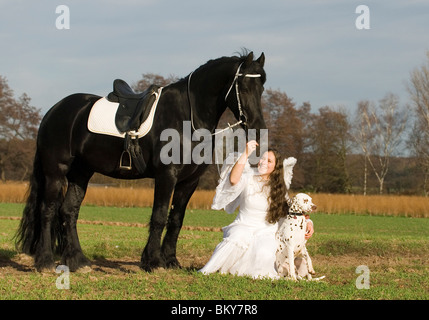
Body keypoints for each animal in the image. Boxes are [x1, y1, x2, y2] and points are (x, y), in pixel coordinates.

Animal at [15, 51, 266, 272]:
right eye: (244, 87)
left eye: (262, 87)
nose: (258, 127)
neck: (187, 116)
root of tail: (54, 111)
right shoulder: (167, 176)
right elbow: (159, 216)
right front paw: (153, 261)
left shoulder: (189, 181)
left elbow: (176, 219)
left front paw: (171, 260)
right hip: (55, 172)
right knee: (48, 210)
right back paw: (45, 261)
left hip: (81, 173)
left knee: (68, 211)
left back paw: (78, 261)